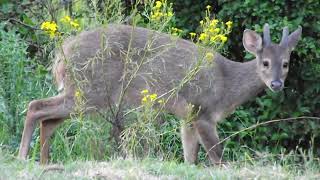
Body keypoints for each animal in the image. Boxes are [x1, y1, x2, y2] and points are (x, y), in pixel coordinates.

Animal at [18, 22, 302, 165]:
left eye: (286, 63)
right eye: (265, 63)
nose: (277, 84)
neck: (226, 86)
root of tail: (61, 55)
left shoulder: (187, 118)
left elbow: (190, 157)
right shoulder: (202, 110)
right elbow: (217, 156)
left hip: (81, 94)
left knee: (48, 119)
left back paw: (44, 162)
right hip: (89, 91)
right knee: (35, 107)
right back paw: (22, 157)